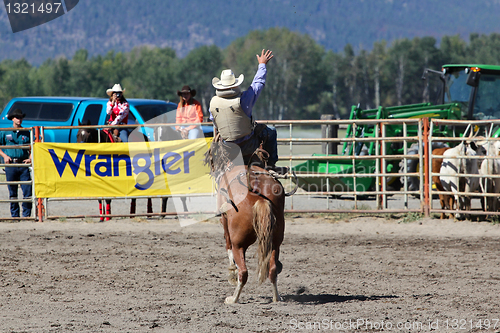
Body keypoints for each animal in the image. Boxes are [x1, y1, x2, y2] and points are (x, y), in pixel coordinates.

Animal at [206, 136, 296, 302]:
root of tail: (259, 197)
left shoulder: (224, 221)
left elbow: (227, 245)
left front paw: (231, 272)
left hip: (239, 243)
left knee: (244, 272)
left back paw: (233, 299)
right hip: (275, 241)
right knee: (272, 269)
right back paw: (277, 297)